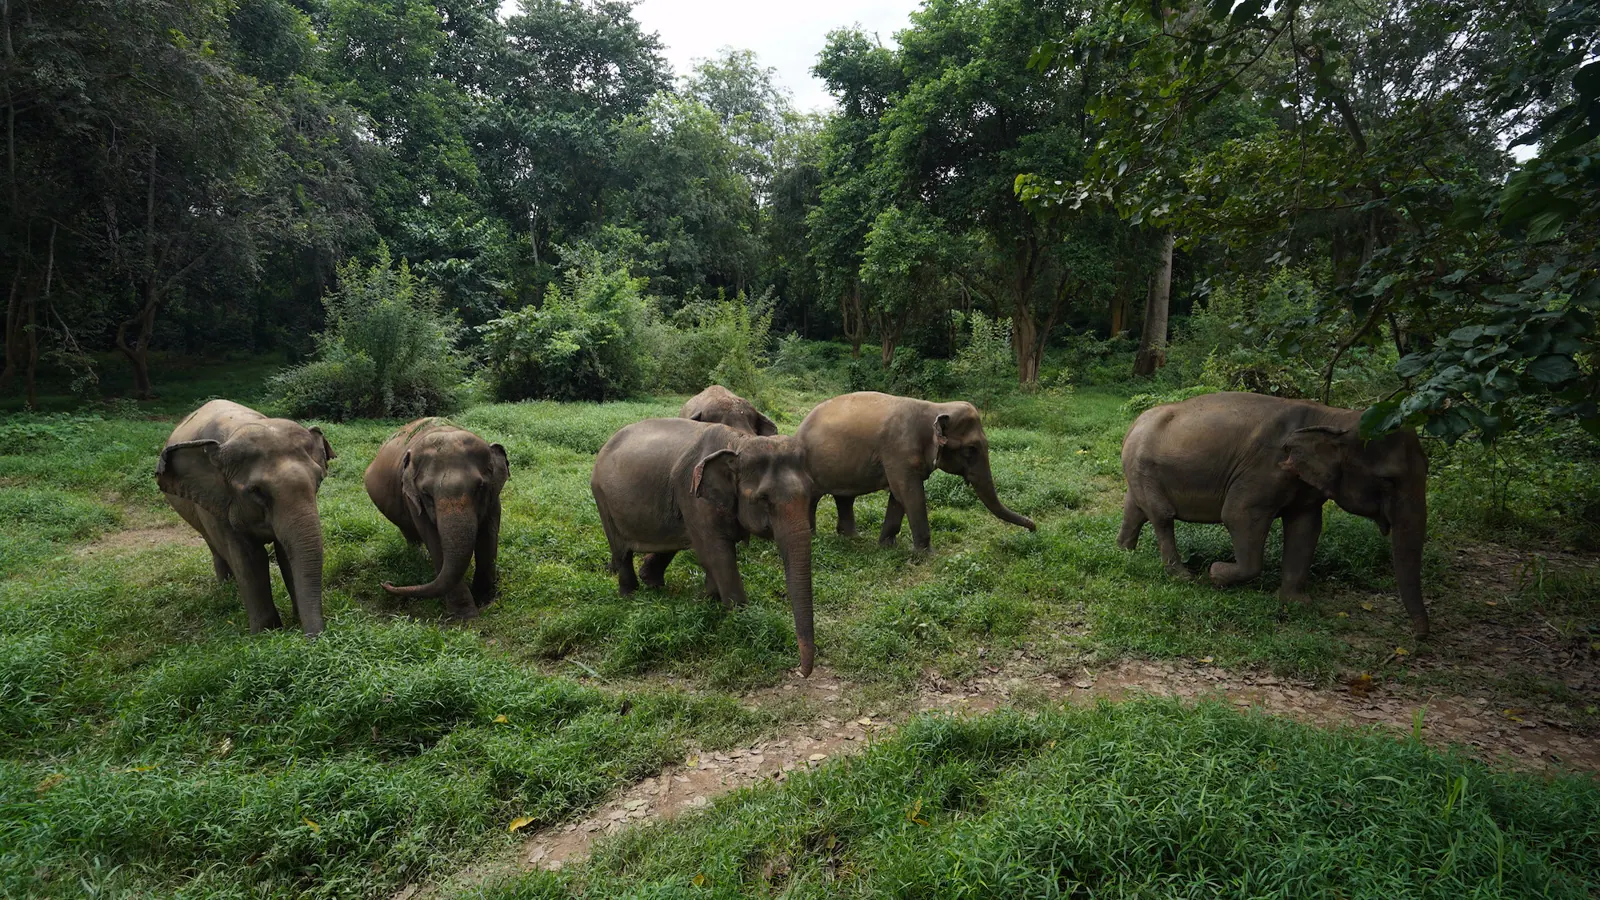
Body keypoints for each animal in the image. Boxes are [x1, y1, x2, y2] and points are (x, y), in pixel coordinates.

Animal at [156, 400, 335, 635]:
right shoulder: (217, 503)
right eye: (256, 491)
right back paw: (227, 588)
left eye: (319, 480)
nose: (315, 636)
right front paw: (266, 632)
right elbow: (249, 558)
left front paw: (294, 623)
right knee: (214, 545)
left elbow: (286, 553)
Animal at [365, 418, 509, 620]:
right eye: (426, 493)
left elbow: (489, 536)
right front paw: (465, 618)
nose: (386, 583)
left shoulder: (493, 498)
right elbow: (435, 542)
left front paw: (484, 600)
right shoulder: (413, 500)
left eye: (480, 487)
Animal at [591, 418, 816, 676]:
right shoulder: (693, 495)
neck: (738, 442)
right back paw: (630, 595)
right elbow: (717, 553)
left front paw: (706, 600)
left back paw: (653, 583)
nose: (800, 671)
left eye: (811, 492)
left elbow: (714, 555)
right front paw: (740, 620)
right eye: (763, 499)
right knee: (621, 550)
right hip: (602, 498)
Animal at [795, 391, 1036, 551]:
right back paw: (813, 537)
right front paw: (926, 555)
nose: (1033, 529)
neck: (935, 407)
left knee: (844, 497)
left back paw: (852, 538)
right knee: (812, 498)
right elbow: (910, 494)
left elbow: (899, 496)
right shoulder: (898, 450)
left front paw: (887, 546)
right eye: (971, 449)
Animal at [1118, 391, 1430, 637]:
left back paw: (1126, 553)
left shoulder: (1304, 486)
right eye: (1388, 480)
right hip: (1145, 466)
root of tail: (1134, 424)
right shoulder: (1263, 469)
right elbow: (1238, 514)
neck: (1334, 417)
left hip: (1139, 470)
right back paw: (1183, 576)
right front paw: (1216, 574)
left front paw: (1297, 603)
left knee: (1135, 509)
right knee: (1162, 515)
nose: (1419, 637)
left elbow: (1307, 527)